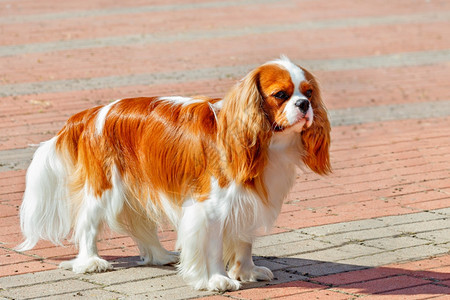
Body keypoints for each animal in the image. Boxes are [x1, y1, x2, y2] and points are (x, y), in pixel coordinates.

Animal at [18, 55, 330, 290]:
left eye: (309, 93)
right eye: (280, 95)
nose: (304, 105)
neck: (266, 143)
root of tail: (92, 113)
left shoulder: (246, 201)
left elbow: (244, 240)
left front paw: (247, 272)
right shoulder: (211, 208)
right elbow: (214, 246)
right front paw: (218, 280)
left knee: (141, 225)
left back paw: (160, 256)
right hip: (105, 189)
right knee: (87, 224)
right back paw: (90, 262)